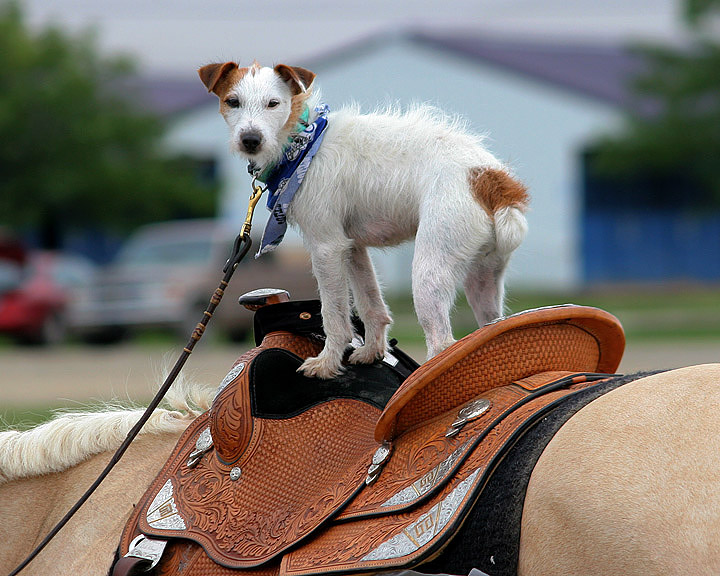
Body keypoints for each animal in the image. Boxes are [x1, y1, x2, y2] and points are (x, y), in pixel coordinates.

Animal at [197, 63, 528, 378]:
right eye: (233, 101)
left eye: (273, 103)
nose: (250, 140)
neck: (305, 142)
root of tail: (491, 179)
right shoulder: (352, 247)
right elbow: (371, 304)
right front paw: (372, 352)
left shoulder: (327, 248)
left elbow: (334, 316)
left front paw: (327, 363)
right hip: (483, 281)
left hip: (429, 274)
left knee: (442, 342)